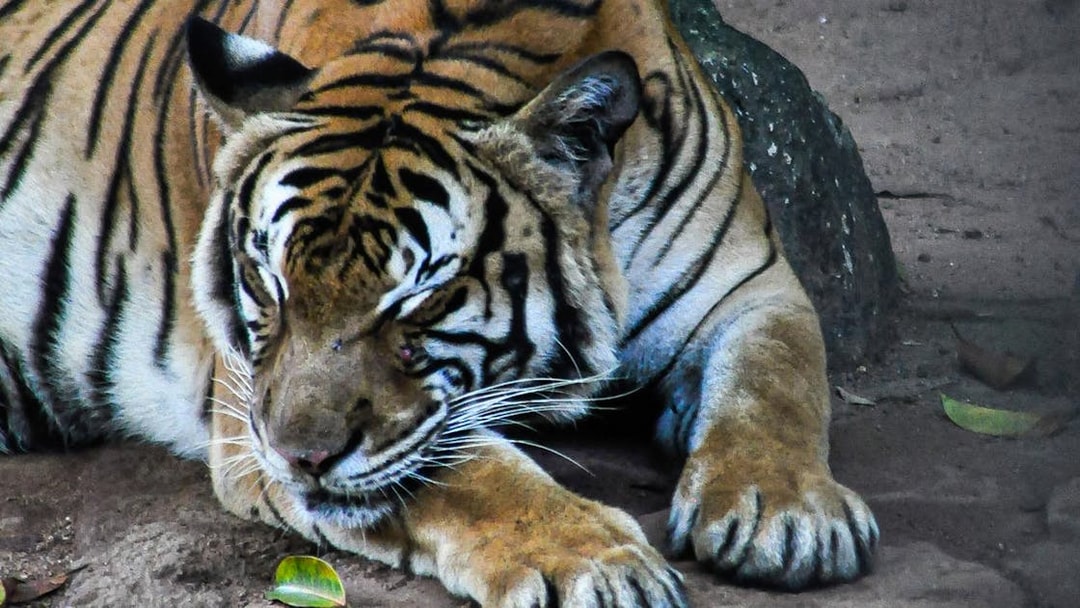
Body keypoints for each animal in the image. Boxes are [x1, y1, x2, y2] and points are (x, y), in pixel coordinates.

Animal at [0, 0, 879, 604]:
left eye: (416, 298)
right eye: (271, 283)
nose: (298, 458)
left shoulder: (749, 283)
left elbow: (777, 384)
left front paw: (787, 514)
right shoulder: (244, 402)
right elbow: (472, 473)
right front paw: (596, 563)